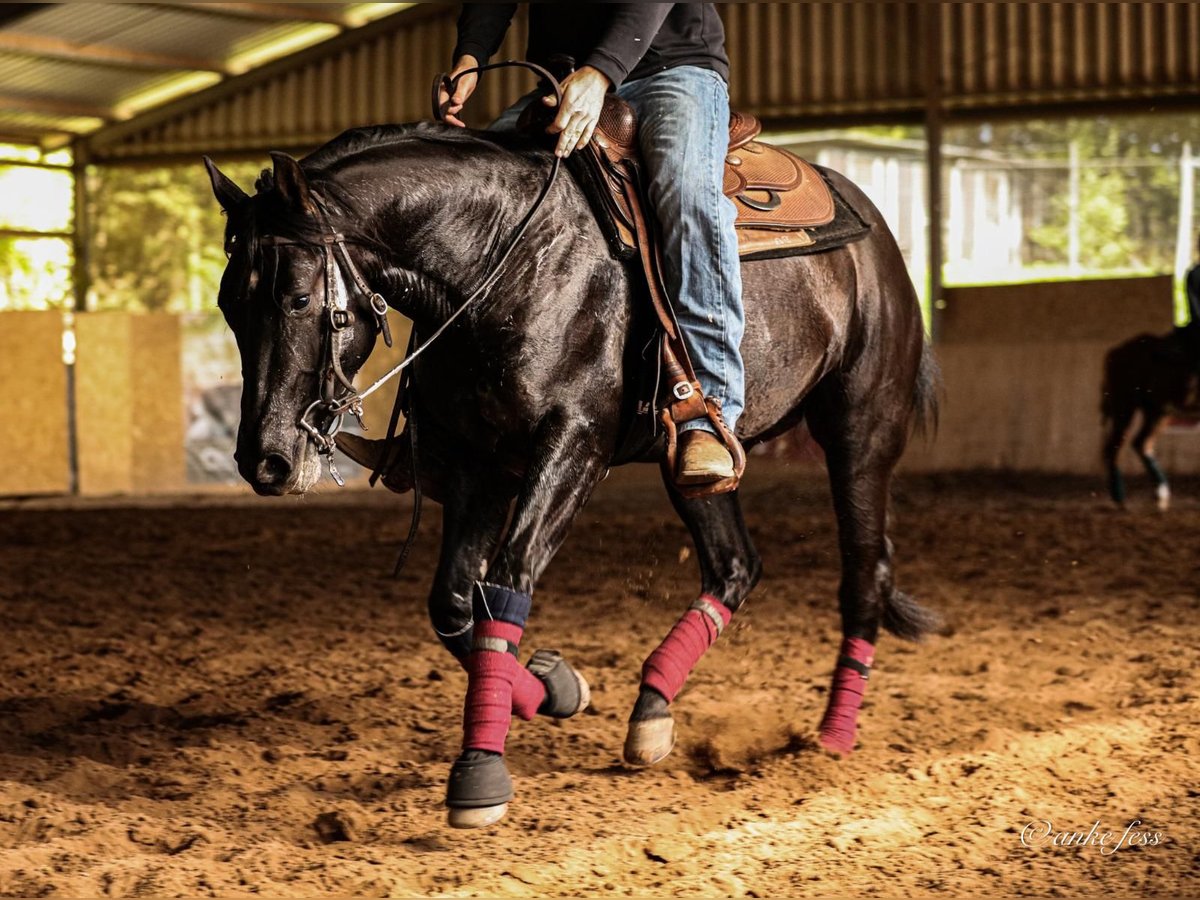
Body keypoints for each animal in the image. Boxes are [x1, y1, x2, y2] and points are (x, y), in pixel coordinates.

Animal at [204, 121, 936, 830]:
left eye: (299, 298)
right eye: (228, 306)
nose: (263, 460)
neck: (504, 261)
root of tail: (871, 229)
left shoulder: (572, 446)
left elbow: (507, 579)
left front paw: (480, 775)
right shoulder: (477, 464)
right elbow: (454, 601)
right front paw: (553, 689)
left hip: (861, 431)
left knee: (863, 574)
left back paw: (831, 740)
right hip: (692, 460)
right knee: (735, 565)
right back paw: (652, 708)